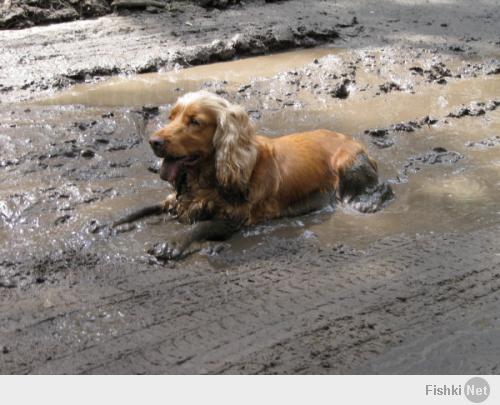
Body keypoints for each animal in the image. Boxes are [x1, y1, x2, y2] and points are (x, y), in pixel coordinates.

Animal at [113, 90, 390, 258]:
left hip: (347, 163)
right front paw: (113, 224)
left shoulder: (234, 218)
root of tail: (358, 143)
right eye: (171, 117)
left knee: (382, 187)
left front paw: (172, 243)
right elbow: (143, 208)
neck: (209, 175)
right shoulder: (178, 201)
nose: (153, 141)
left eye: (195, 121)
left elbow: (200, 225)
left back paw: (365, 203)